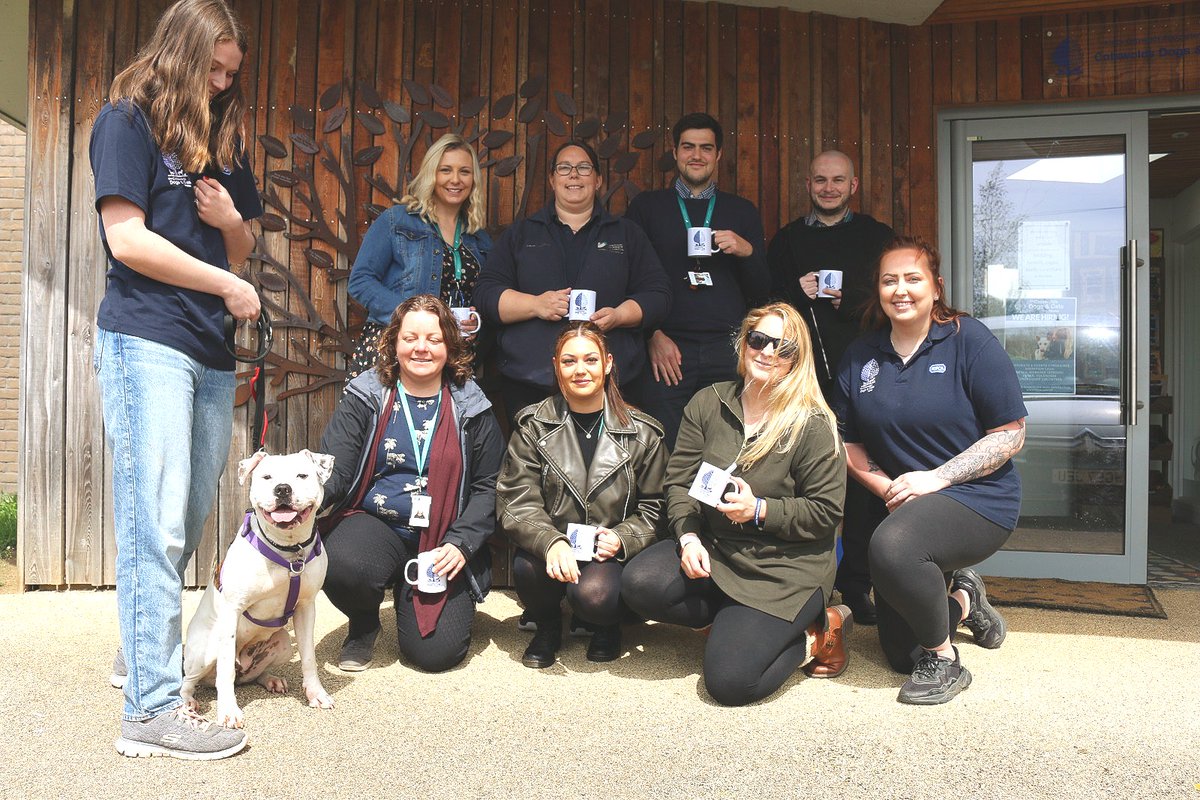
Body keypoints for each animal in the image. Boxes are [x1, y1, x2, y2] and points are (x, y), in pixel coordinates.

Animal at [180, 448, 338, 729]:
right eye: (267, 477)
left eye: (302, 475)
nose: (282, 489)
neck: (288, 551)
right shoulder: (232, 610)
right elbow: (225, 672)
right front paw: (228, 711)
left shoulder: (306, 607)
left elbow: (309, 657)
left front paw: (316, 694)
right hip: (205, 650)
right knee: (191, 682)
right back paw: (189, 702)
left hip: (284, 643)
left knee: (251, 675)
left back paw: (270, 679)